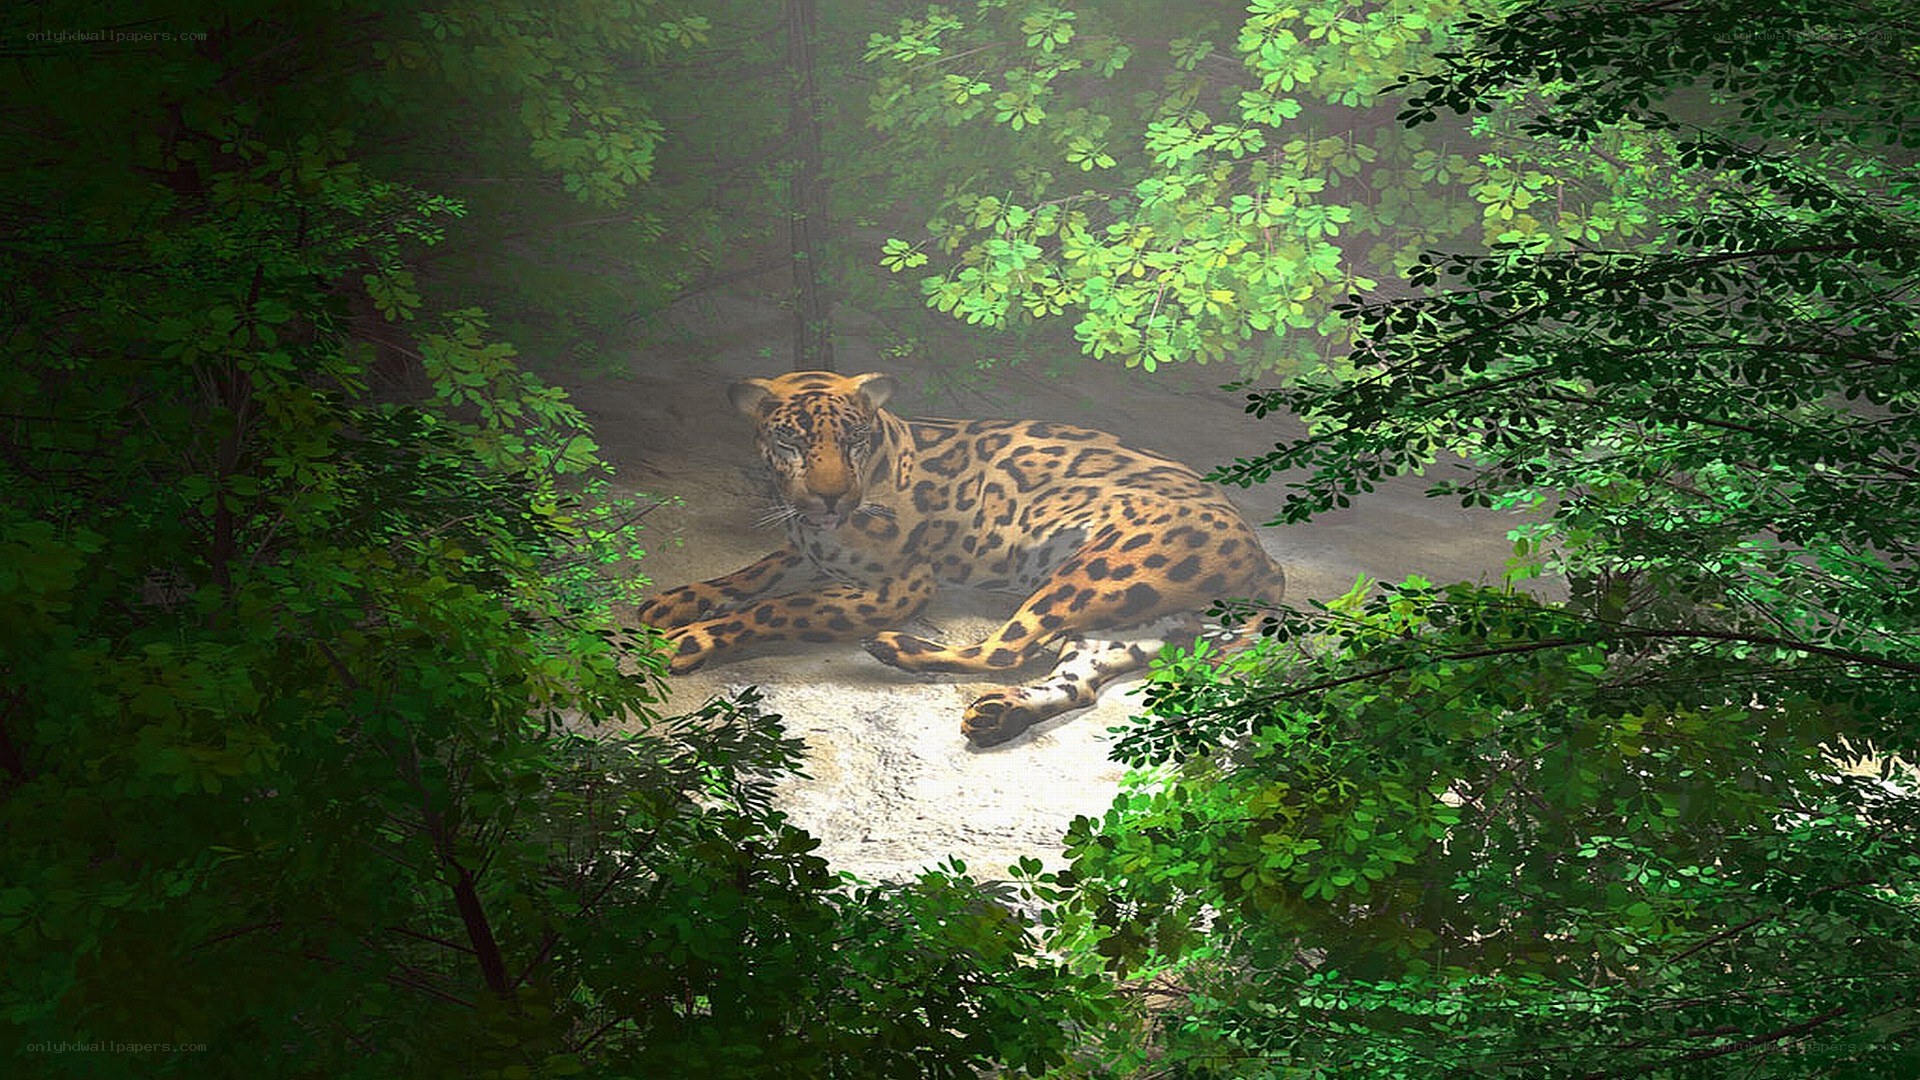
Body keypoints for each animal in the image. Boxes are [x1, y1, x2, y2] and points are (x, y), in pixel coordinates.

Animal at [635, 370, 1286, 746]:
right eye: (789, 439)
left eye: (853, 439)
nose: (830, 497)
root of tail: (1266, 560)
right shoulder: (810, 544)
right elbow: (759, 569)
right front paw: (677, 600)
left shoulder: (892, 588)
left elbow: (778, 608)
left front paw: (688, 640)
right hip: (1127, 628)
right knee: (1075, 685)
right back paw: (998, 717)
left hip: (1089, 573)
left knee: (1006, 650)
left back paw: (895, 649)